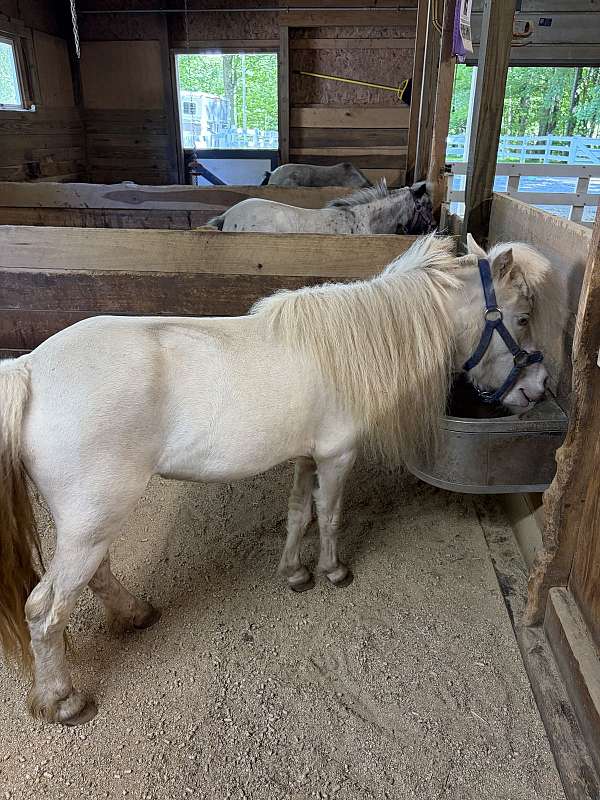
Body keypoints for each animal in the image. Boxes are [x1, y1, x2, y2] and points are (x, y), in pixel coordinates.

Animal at [0, 233, 551, 726]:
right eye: (522, 318)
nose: (538, 388)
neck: (349, 345)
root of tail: (30, 368)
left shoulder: (306, 455)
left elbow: (298, 513)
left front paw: (293, 572)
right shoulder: (337, 455)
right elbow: (329, 515)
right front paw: (332, 570)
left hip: (92, 520)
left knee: (96, 576)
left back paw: (135, 614)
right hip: (94, 519)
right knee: (46, 610)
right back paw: (63, 701)